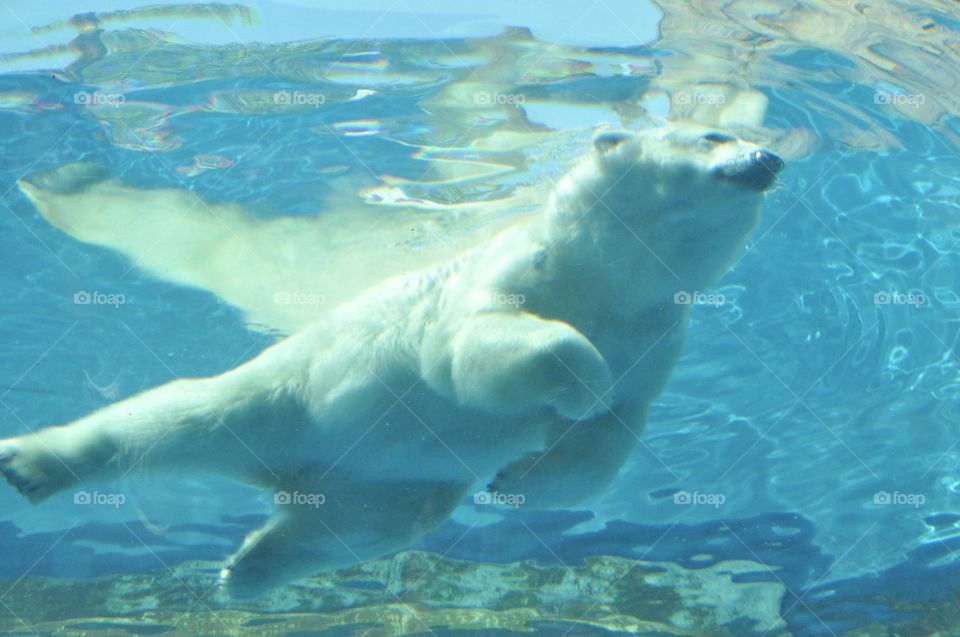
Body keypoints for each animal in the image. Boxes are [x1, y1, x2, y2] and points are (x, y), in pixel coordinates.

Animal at [0, 123, 783, 598]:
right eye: (714, 132)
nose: (770, 156)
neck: (610, 277)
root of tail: (297, 473)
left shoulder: (659, 333)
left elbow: (613, 432)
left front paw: (520, 481)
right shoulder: (512, 271)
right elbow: (476, 350)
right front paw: (578, 382)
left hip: (391, 487)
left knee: (349, 531)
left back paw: (247, 567)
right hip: (288, 396)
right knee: (177, 416)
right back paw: (34, 463)